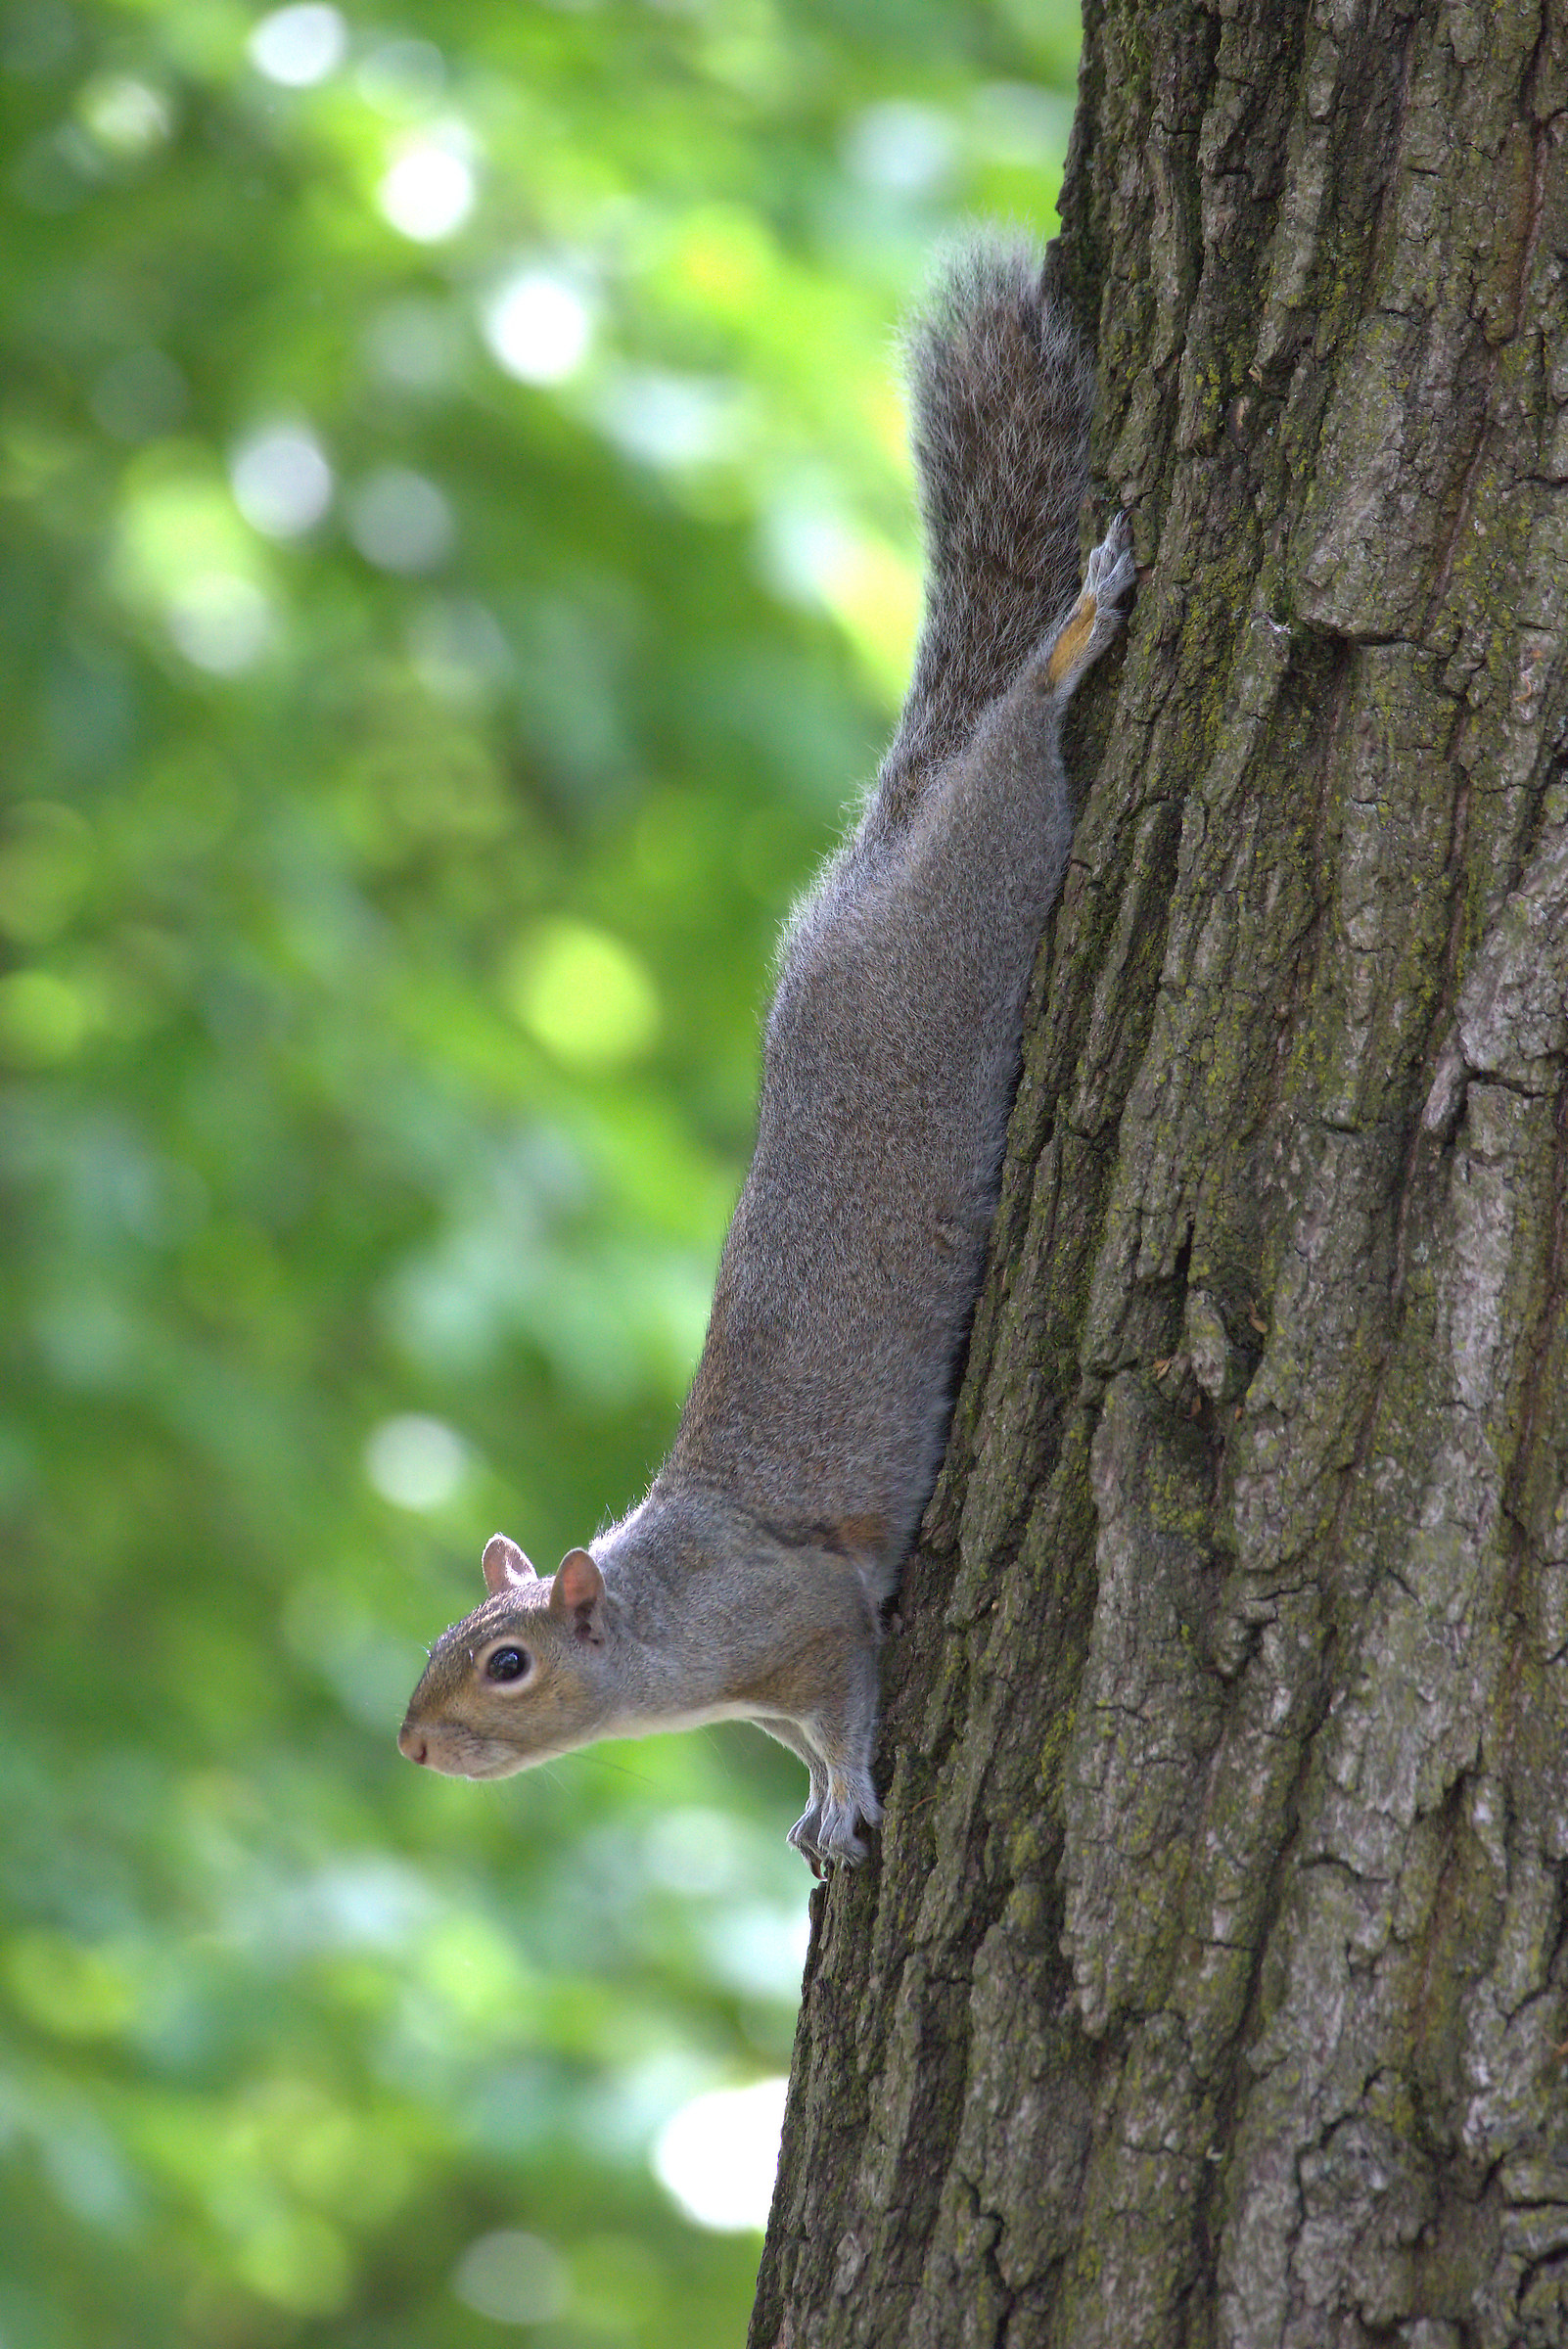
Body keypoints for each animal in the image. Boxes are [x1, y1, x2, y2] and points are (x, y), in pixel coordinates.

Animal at [398, 236, 1135, 1871]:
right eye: (444, 1639)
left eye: (506, 1660)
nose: (411, 1744)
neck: (664, 1631)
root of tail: (874, 869)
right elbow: (799, 1739)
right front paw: (810, 1804)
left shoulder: (801, 1611)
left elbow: (847, 1694)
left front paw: (848, 1790)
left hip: (993, 869)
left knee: (1015, 733)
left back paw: (1075, 631)